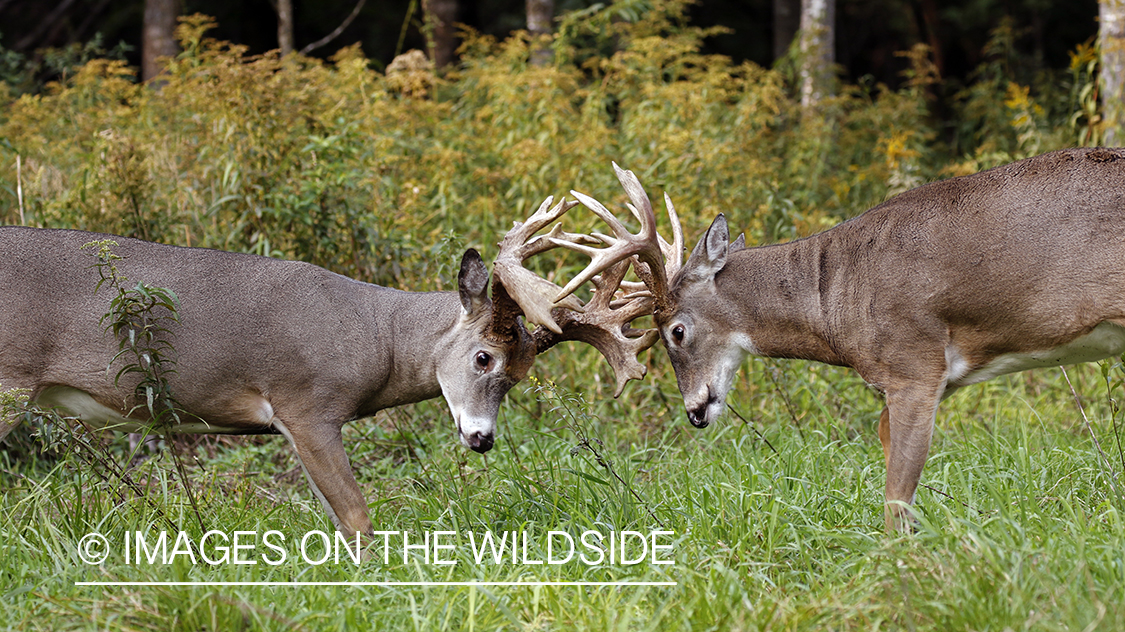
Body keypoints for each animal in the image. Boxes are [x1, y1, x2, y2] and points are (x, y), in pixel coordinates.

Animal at [558, 148, 1125, 530]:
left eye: (675, 331)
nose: (695, 410)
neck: (837, 298)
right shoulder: (920, 380)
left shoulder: (914, 363)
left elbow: (896, 497)